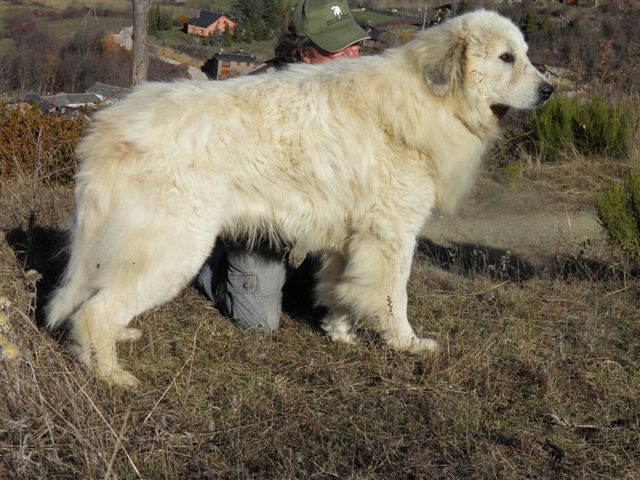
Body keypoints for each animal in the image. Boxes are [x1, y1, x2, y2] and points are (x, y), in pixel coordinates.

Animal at [47, 10, 552, 386]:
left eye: (526, 55)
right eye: (506, 57)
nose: (549, 89)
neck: (427, 98)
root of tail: (109, 125)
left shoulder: (351, 238)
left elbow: (342, 288)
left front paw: (341, 334)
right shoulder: (392, 234)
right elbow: (394, 298)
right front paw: (406, 345)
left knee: (96, 300)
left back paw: (118, 340)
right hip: (172, 250)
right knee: (95, 311)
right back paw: (110, 376)